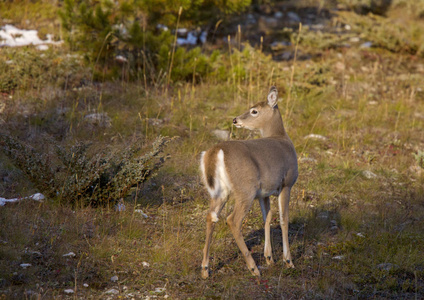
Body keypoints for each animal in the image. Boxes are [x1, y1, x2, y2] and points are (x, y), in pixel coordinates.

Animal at [200, 85, 296, 278]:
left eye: (254, 111)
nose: (235, 120)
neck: (281, 137)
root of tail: (216, 150)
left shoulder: (264, 193)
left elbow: (267, 218)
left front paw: (269, 258)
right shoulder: (286, 184)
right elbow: (284, 219)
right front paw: (288, 261)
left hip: (221, 192)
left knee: (210, 216)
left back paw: (205, 270)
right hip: (245, 189)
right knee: (232, 220)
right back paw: (253, 268)